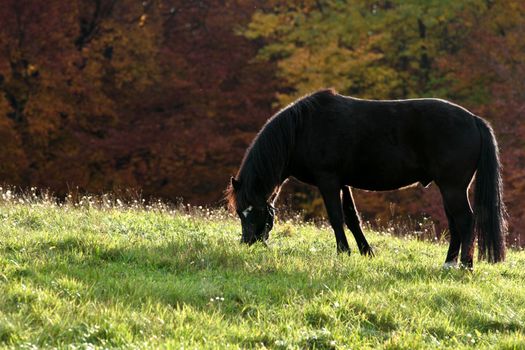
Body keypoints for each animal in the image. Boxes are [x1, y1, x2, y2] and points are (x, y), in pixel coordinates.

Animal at [224, 88, 504, 268]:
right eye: (239, 213)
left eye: (252, 211)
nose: (247, 242)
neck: (302, 129)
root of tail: (474, 120)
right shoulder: (343, 182)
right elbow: (352, 217)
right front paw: (366, 251)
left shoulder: (328, 180)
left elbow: (336, 217)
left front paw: (343, 252)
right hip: (448, 189)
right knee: (455, 223)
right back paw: (449, 263)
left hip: (453, 187)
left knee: (466, 220)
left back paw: (465, 265)